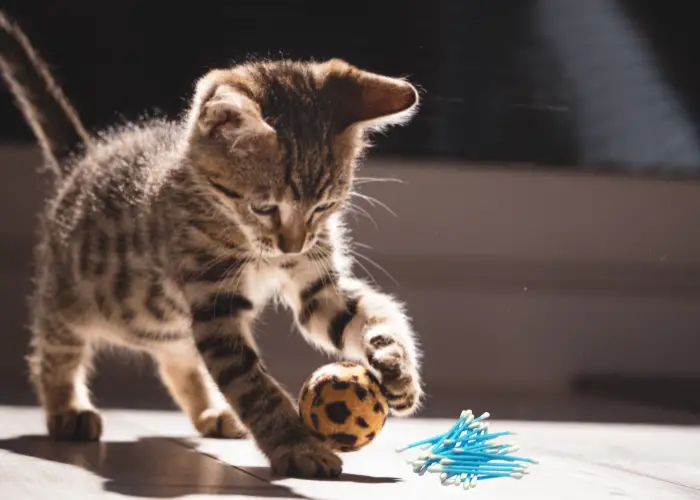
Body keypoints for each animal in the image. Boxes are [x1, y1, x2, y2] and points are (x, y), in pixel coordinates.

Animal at [0, 9, 424, 474]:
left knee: (177, 358)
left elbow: (366, 313)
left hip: (168, 323)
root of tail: (85, 158)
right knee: (53, 349)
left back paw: (210, 411)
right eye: (264, 207)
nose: (291, 247)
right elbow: (253, 386)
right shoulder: (215, 303)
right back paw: (67, 409)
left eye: (324, 206)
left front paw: (396, 366)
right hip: (70, 298)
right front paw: (298, 447)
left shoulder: (317, 286)